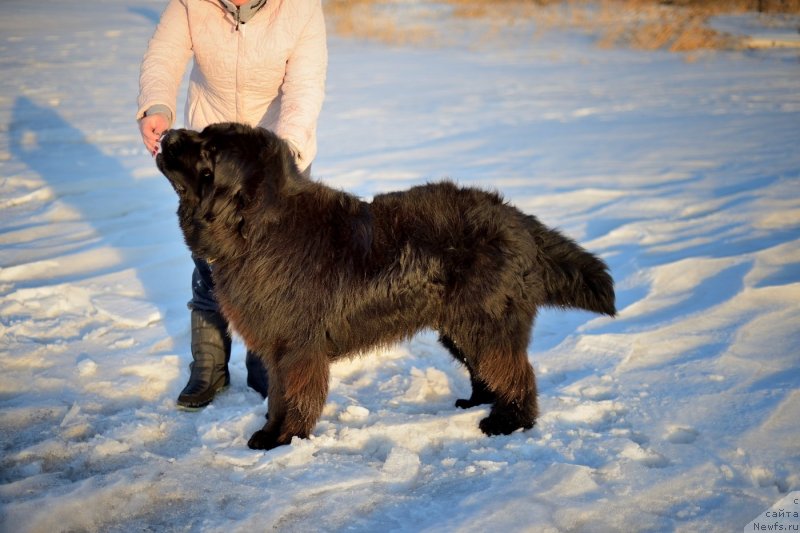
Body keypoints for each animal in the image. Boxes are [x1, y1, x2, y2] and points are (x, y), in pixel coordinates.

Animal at [158, 121, 620, 448]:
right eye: (202, 134)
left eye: (209, 151)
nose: (165, 133)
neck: (256, 229)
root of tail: (517, 217)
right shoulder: (275, 344)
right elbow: (276, 396)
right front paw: (269, 432)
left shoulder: (297, 345)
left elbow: (295, 395)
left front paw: (286, 438)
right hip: (461, 326)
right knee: (487, 369)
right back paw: (478, 403)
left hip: (486, 321)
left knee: (515, 372)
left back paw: (509, 423)